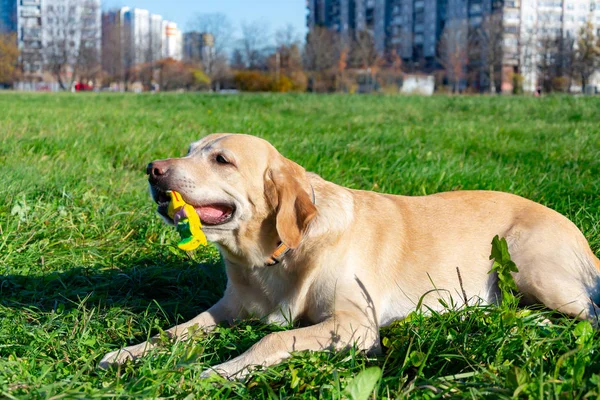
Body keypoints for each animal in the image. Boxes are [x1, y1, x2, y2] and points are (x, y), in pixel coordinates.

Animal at [99, 134, 600, 378]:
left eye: (221, 159)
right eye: (188, 151)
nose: (152, 170)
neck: (273, 259)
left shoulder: (356, 325)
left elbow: (272, 340)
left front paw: (223, 369)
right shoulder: (227, 310)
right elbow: (175, 331)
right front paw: (127, 352)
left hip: (533, 267)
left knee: (589, 314)